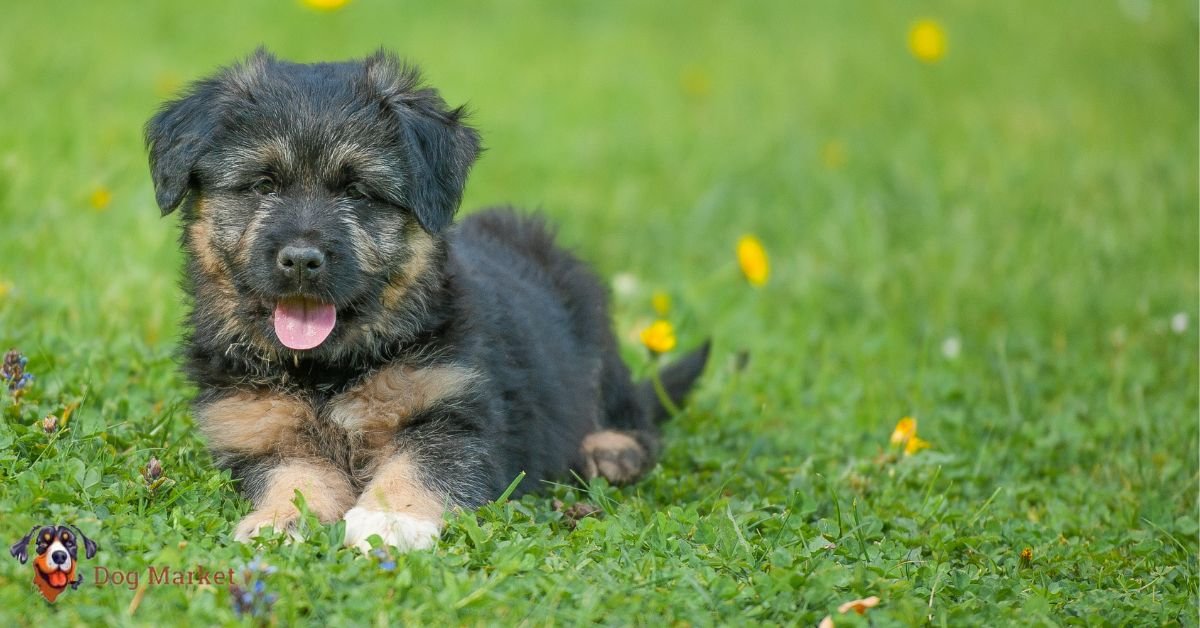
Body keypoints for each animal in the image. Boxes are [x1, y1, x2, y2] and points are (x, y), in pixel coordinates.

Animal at [144, 48, 705, 549]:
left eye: (358, 192)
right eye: (262, 185)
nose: (301, 259)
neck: (329, 369)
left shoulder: (455, 411)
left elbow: (421, 464)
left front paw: (391, 519)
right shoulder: (256, 428)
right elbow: (295, 478)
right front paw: (279, 522)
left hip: (591, 324)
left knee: (629, 408)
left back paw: (612, 450)